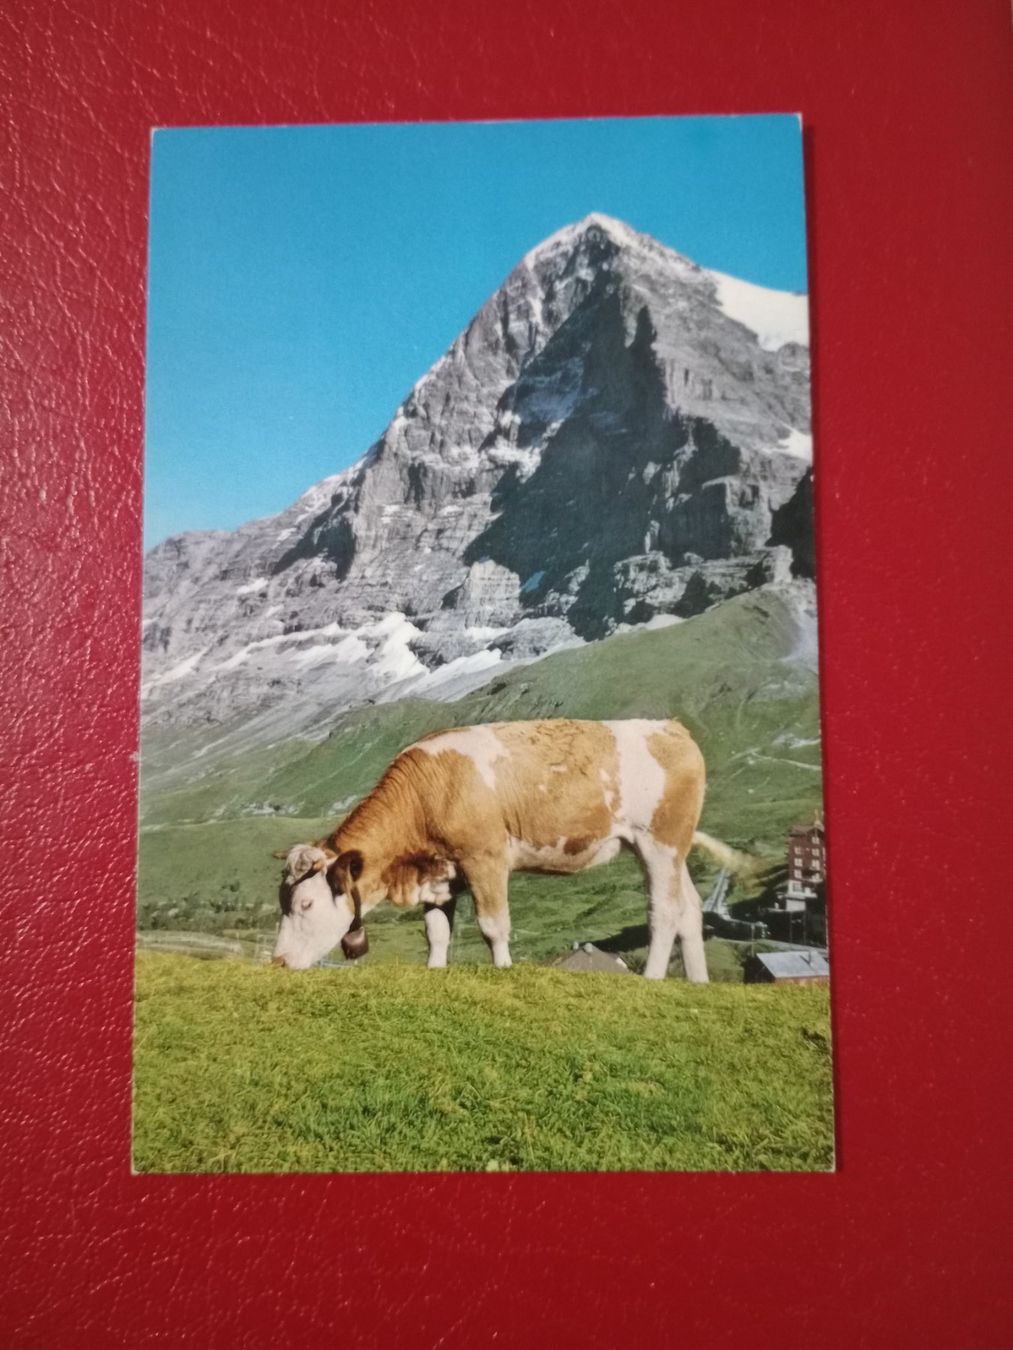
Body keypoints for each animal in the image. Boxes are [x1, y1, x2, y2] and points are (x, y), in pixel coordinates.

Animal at [272, 718, 745, 981]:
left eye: (307, 904)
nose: (277, 961)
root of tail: (671, 727)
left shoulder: (486, 858)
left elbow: (492, 925)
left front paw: (503, 968)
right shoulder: (440, 873)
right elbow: (436, 932)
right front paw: (435, 971)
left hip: (658, 842)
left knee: (664, 911)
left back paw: (651, 978)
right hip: (675, 849)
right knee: (689, 908)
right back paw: (698, 983)